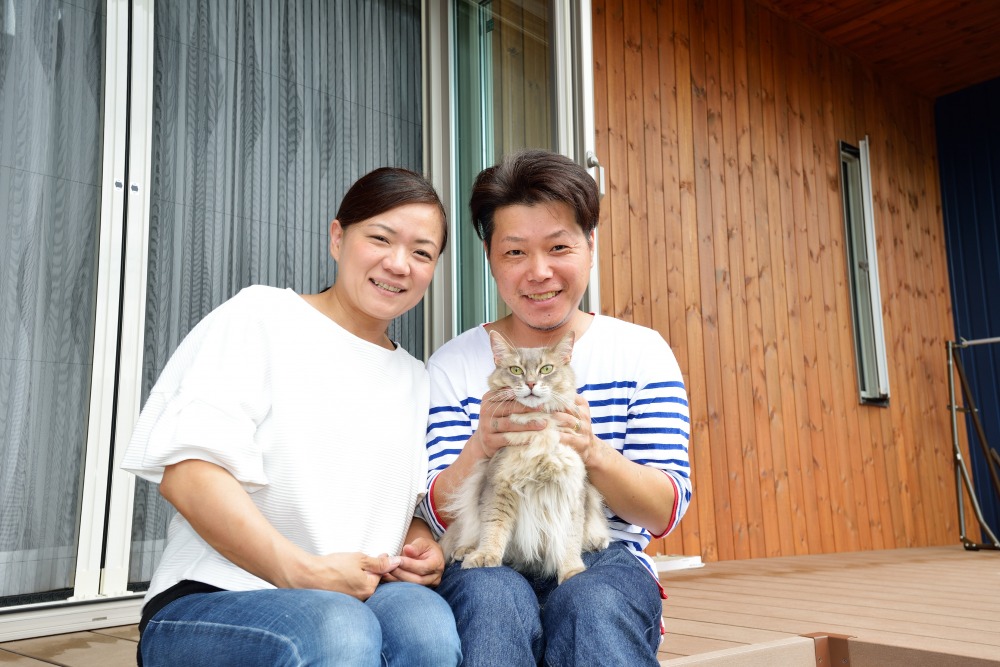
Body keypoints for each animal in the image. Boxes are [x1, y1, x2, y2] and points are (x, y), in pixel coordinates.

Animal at [444, 332, 612, 580]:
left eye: (546, 369)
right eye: (516, 370)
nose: (531, 383)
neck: (538, 433)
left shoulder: (571, 489)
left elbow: (569, 538)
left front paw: (572, 570)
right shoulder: (499, 484)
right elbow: (494, 527)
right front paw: (485, 556)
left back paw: (596, 541)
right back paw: (465, 549)